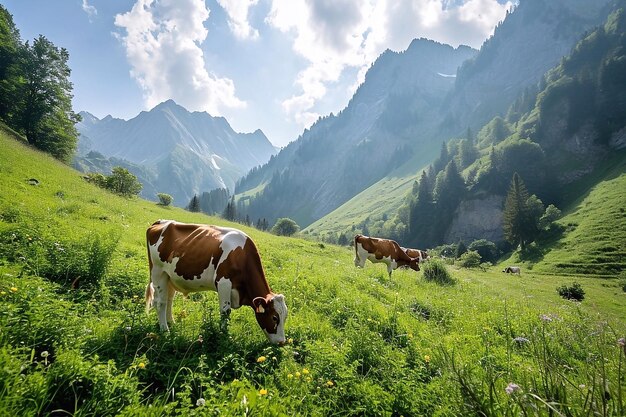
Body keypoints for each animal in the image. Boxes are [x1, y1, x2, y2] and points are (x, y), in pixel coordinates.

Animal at [145, 219, 286, 342]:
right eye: (274, 317)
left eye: (285, 317)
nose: (282, 342)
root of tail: (161, 222)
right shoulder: (224, 282)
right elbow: (225, 312)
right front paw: (224, 336)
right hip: (158, 272)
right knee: (160, 302)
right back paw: (165, 331)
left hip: (169, 277)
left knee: (169, 299)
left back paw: (171, 323)